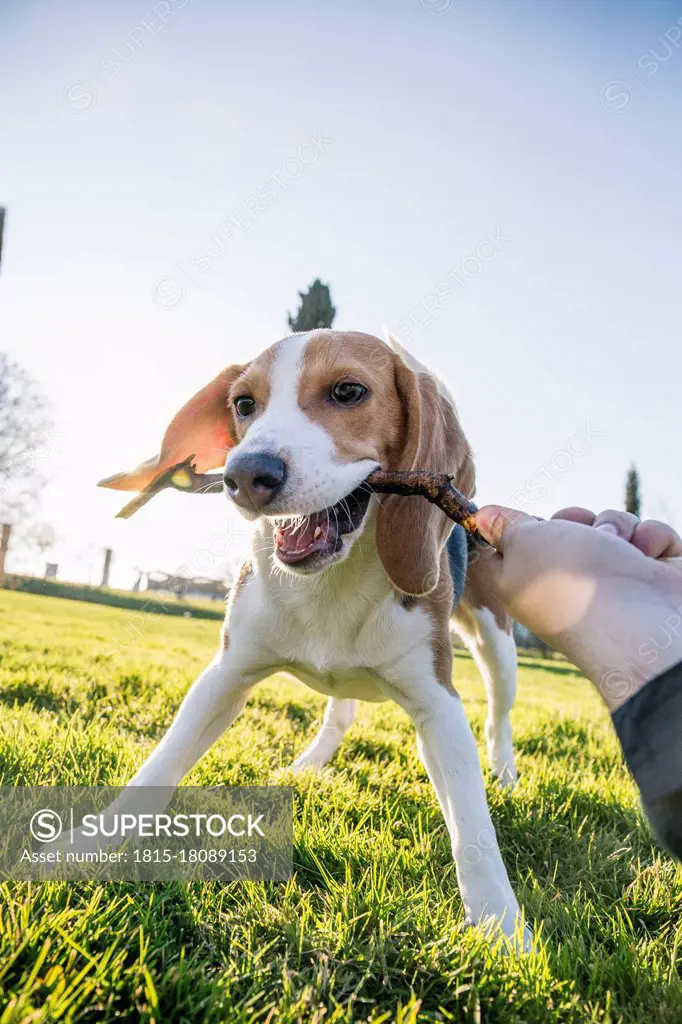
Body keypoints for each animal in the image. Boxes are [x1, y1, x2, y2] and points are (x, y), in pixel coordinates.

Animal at [102, 327, 524, 942]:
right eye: (243, 405)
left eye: (348, 391)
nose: (244, 475)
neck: (330, 581)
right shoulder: (224, 676)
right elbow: (159, 765)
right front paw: (82, 847)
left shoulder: (439, 706)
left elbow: (473, 824)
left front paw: (502, 926)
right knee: (341, 711)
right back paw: (308, 765)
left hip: (498, 645)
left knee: (497, 716)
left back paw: (507, 774)